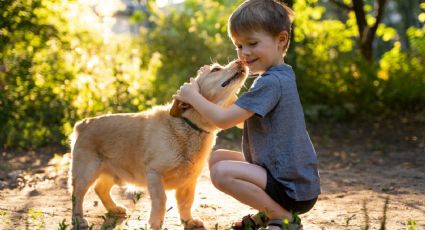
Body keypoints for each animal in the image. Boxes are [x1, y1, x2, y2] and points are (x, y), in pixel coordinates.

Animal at [68, 60, 247, 229]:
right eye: (215, 69)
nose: (241, 61)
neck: (189, 125)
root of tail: (82, 124)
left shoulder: (189, 181)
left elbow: (186, 203)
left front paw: (188, 221)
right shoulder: (154, 174)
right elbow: (161, 201)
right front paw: (155, 224)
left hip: (113, 172)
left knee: (100, 189)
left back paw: (114, 208)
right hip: (86, 173)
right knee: (77, 195)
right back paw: (79, 220)